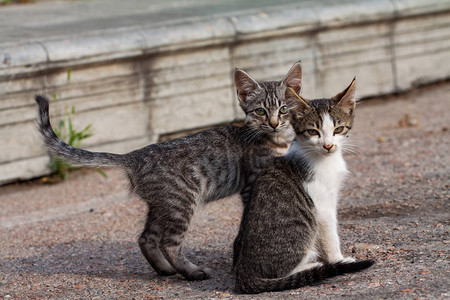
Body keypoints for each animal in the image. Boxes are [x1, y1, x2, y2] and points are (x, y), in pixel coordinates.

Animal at [35, 61, 302, 282]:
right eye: (260, 111)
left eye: (284, 109)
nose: (274, 123)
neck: (277, 141)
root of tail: (135, 155)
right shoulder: (251, 186)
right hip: (181, 202)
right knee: (169, 243)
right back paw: (192, 272)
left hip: (162, 204)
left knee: (146, 238)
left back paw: (164, 269)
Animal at [234, 78, 374, 292]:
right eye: (313, 132)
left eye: (338, 129)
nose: (328, 145)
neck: (324, 159)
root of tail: (244, 273)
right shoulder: (322, 207)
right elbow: (330, 236)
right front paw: (338, 260)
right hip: (301, 231)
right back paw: (314, 266)